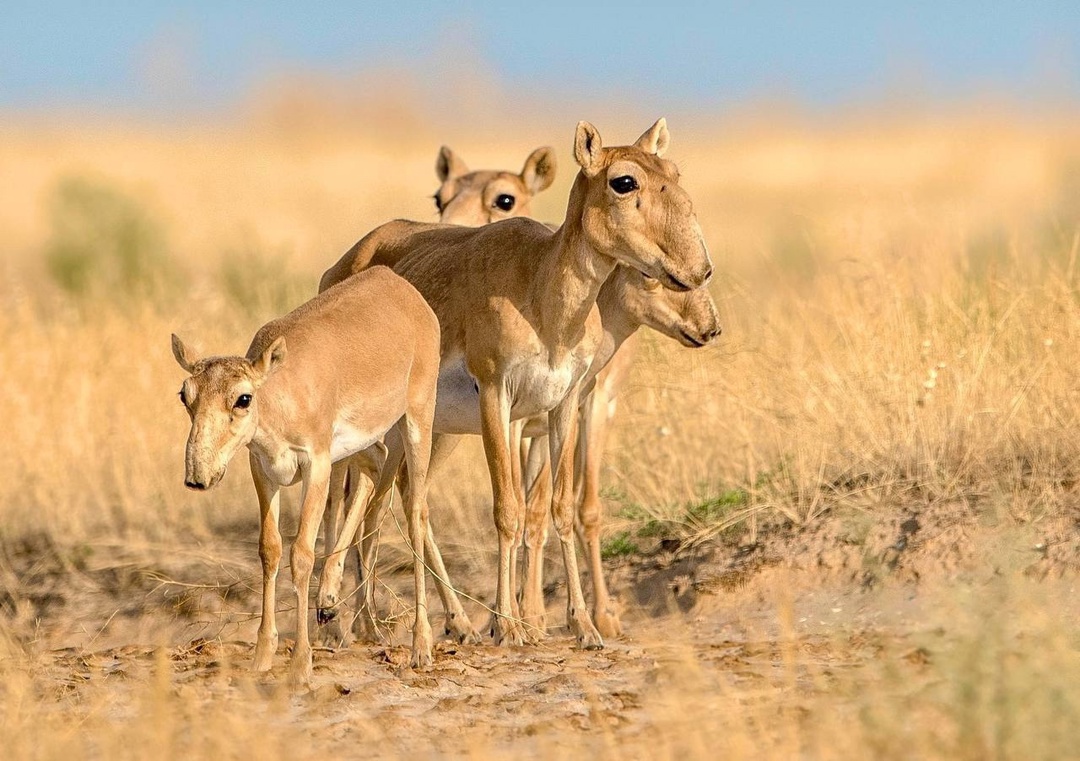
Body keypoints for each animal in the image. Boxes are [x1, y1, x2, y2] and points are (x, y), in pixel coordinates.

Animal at [171, 267, 438, 682]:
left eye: (243, 398)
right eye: (185, 395)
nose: (198, 476)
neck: (281, 389)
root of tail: (403, 289)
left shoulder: (317, 466)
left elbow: (301, 554)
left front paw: (300, 664)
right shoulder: (263, 470)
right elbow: (270, 549)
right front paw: (262, 655)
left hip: (417, 421)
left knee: (415, 512)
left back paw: (420, 647)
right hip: (363, 444)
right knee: (373, 471)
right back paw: (328, 600)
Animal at [315, 117, 712, 647]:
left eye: (672, 171)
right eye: (624, 181)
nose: (698, 269)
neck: (541, 290)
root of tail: (346, 262)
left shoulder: (560, 408)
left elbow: (557, 508)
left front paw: (581, 625)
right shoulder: (499, 402)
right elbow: (509, 509)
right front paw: (510, 624)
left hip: (406, 431)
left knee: (378, 500)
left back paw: (375, 622)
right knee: (354, 497)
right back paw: (344, 616)